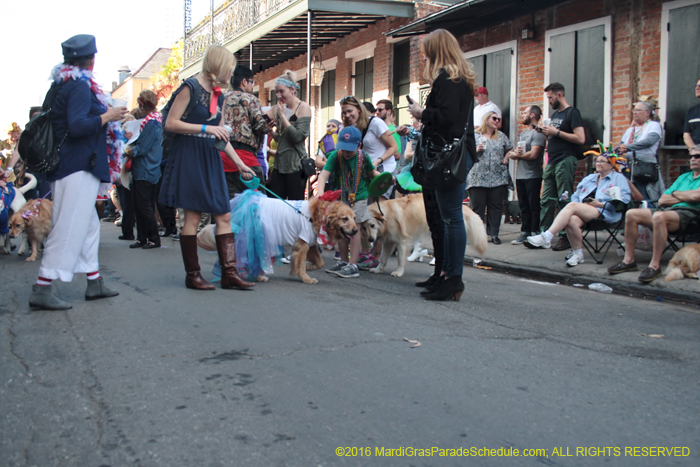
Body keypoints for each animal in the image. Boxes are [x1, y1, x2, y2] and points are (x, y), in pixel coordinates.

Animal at [200, 196, 358, 284]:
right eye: (345, 219)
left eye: (354, 218)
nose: (356, 230)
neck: (318, 216)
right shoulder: (303, 244)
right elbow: (300, 264)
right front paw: (305, 277)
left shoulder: (311, 243)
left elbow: (320, 263)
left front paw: (310, 268)